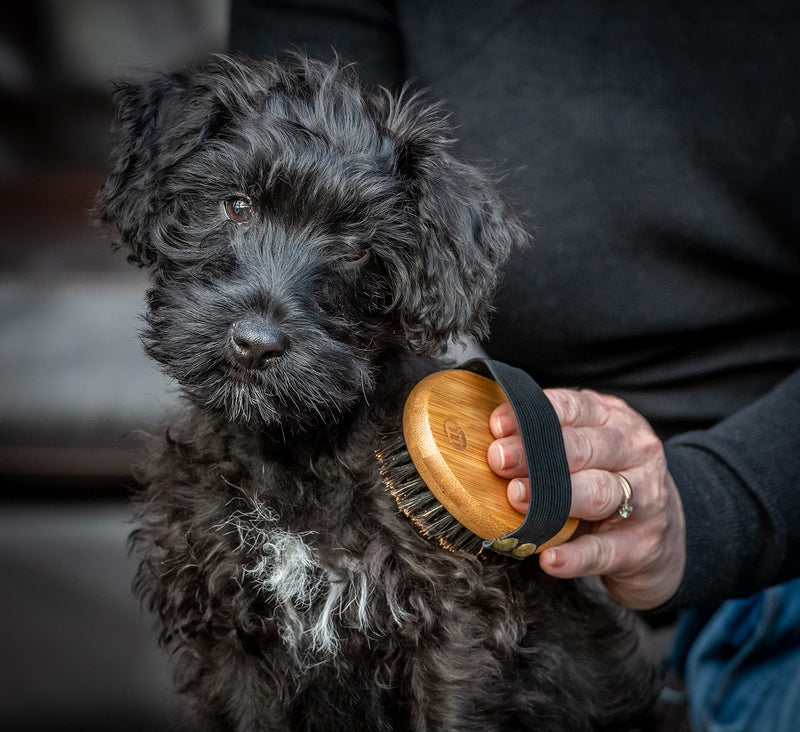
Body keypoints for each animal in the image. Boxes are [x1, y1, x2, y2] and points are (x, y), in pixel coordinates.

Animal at [95, 54, 656, 728]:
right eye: (236, 205)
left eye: (356, 247)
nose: (255, 344)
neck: (294, 452)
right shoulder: (228, 637)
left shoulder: (455, 637)